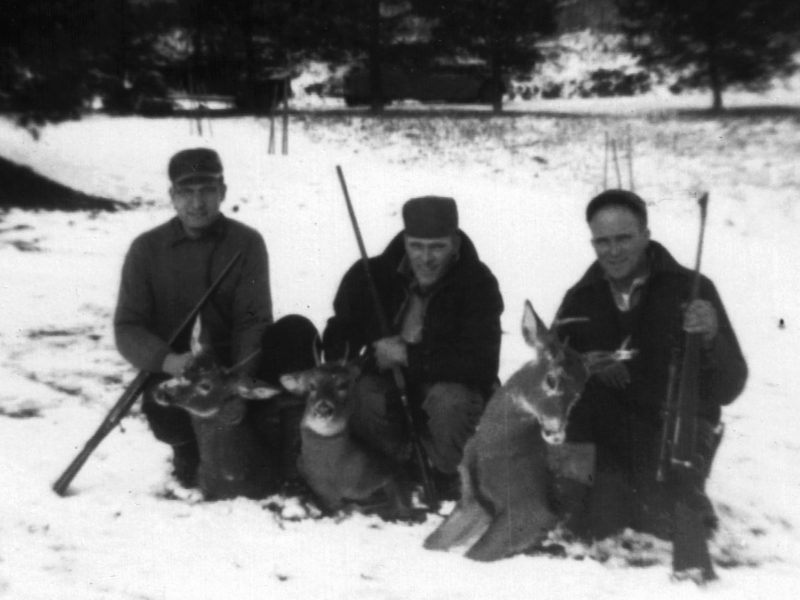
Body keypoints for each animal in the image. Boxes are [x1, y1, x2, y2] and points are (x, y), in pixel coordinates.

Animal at [422, 300, 636, 564]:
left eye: (578, 393)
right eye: (551, 379)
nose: (556, 433)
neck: (490, 448)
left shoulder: (530, 507)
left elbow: (474, 555)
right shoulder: (472, 499)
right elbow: (432, 543)